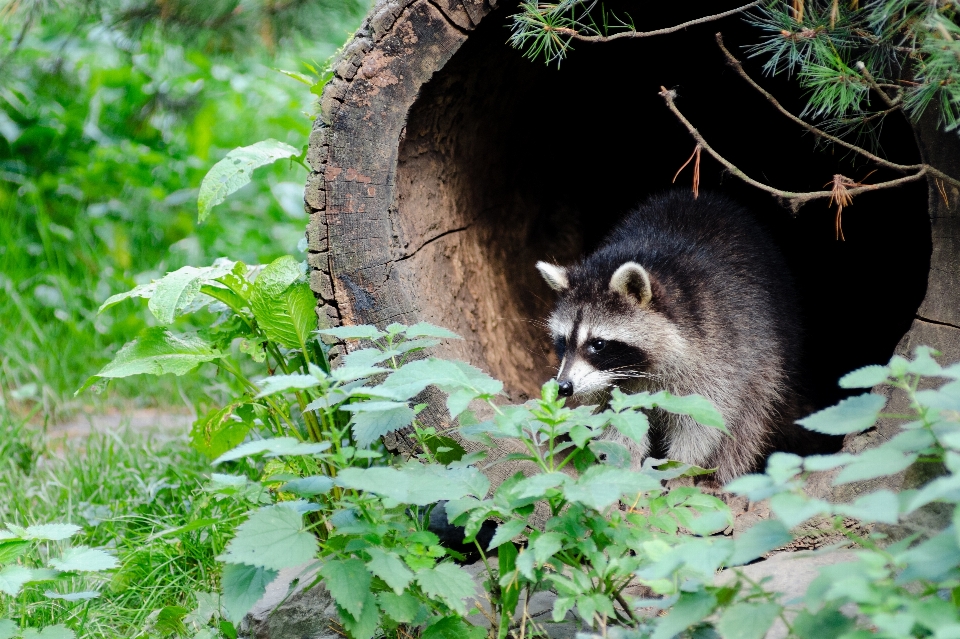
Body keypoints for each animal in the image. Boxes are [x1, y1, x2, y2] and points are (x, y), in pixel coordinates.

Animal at [536, 192, 800, 482]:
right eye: (563, 341)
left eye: (598, 344)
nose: (563, 386)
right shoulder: (608, 385)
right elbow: (617, 420)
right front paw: (626, 469)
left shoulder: (717, 348)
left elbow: (704, 420)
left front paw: (679, 470)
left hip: (764, 350)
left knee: (749, 418)